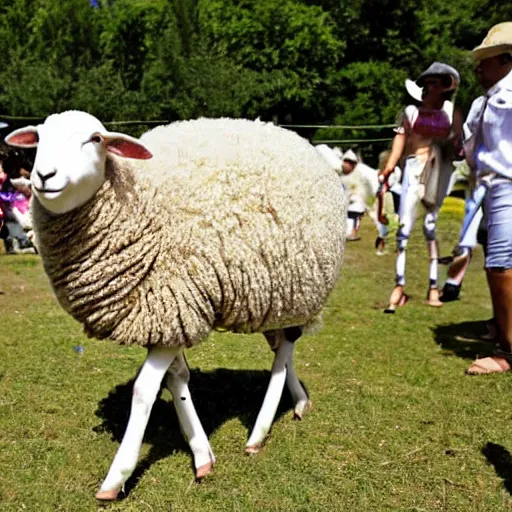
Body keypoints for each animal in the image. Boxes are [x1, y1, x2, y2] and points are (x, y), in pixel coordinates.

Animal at [6, 111, 346, 500]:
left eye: (96, 139)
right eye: (39, 138)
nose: (44, 176)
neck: (138, 197)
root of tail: (294, 138)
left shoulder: (175, 304)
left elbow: (144, 390)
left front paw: (116, 477)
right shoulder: (167, 314)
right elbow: (177, 380)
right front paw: (202, 453)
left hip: (300, 287)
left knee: (284, 350)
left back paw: (258, 432)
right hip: (273, 298)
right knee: (281, 348)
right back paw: (300, 401)